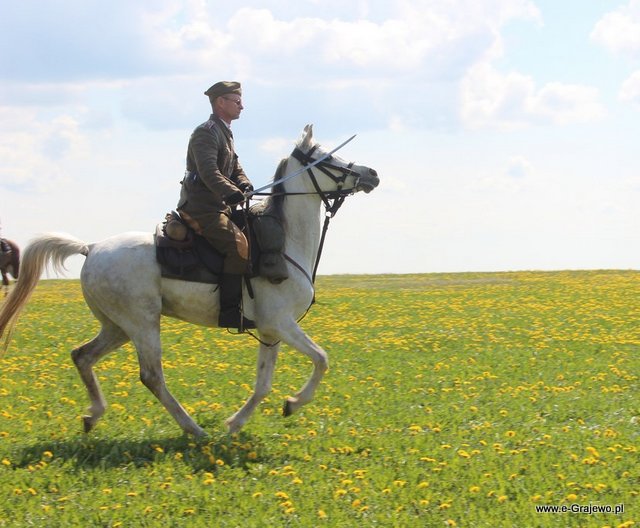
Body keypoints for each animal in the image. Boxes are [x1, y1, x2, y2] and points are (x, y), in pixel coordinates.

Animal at [0, 125, 380, 437]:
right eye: (326, 157)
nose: (372, 173)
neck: (286, 242)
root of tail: (90, 247)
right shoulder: (282, 323)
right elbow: (321, 358)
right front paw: (293, 403)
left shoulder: (270, 331)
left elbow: (263, 384)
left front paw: (236, 423)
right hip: (142, 323)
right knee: (151, 376)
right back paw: (192, 428)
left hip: (117, 326)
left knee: (82, 356)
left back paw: (93, 415)